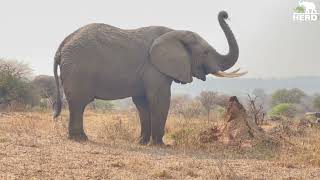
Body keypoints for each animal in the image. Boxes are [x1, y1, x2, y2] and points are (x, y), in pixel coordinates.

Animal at [53, 10, 246, 145]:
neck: (175, 32)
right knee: (79, 102)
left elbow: (142, 102)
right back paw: (80, 139)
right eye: (205, 53)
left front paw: (142, 142)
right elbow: (160, 99)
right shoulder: (154, 67)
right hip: (78, 69)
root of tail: (62, 45)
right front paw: (161, 144)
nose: (225, 14)